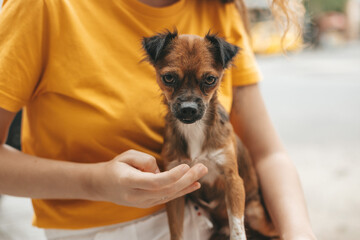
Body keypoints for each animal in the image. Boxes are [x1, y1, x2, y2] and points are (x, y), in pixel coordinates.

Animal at [142, 31, 278, 240]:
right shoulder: (175, 188)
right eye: (168, 78)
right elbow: (176, 230)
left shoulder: (233, 181)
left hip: (255, 214)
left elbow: (237, 228)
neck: (195, 129)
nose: (188, 109)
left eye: (210, 79)